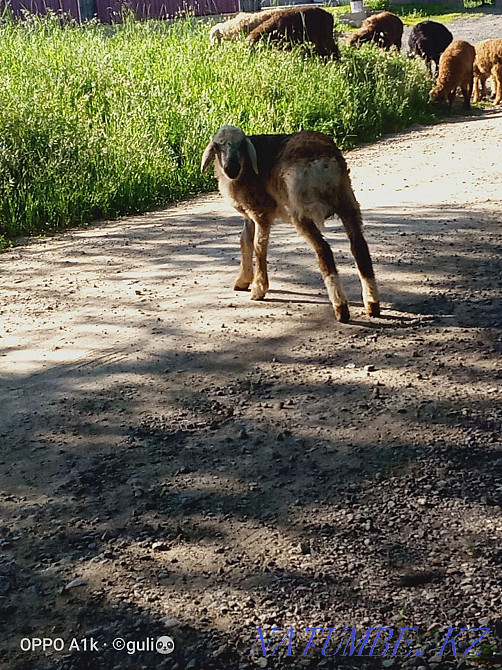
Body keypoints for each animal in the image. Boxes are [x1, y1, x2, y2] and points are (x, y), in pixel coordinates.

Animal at [201, 126, 380, 323]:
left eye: (241, 145)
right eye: (218, 147)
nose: (231, 168)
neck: (245, 169)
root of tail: (322, 164)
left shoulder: (261, 211)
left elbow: (258, 246)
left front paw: (259, 288)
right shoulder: (250, 214)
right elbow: (244, 241)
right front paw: (243, 280)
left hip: (300, 211)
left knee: (323, 250)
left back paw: (341, 308)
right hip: (346, 200)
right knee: (359, 246)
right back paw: (372, 303)